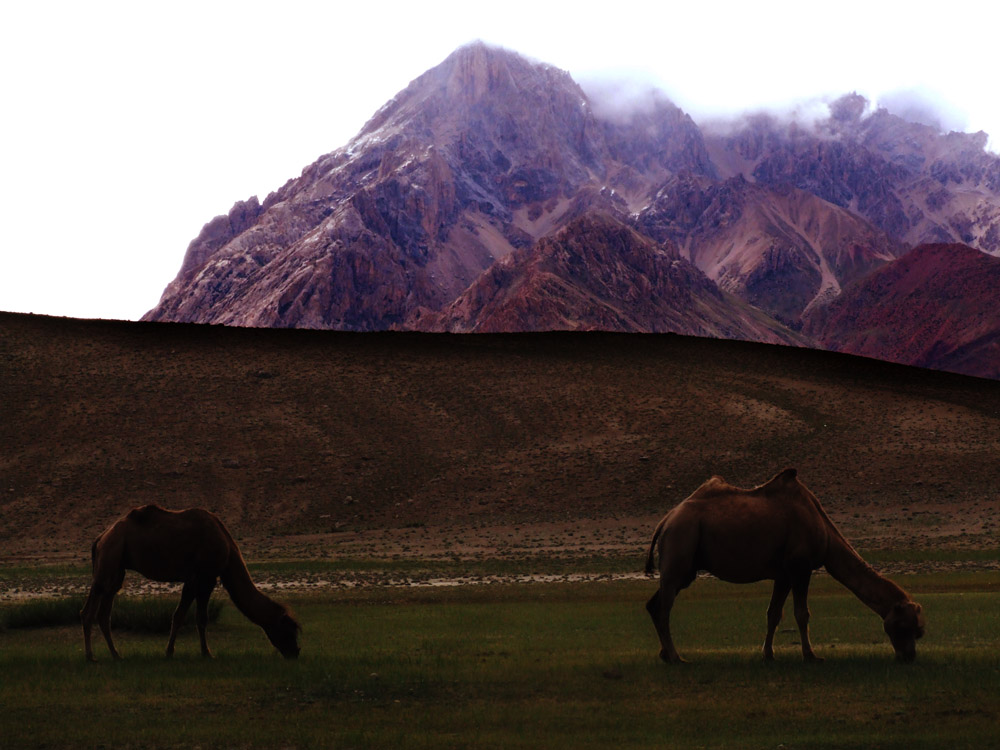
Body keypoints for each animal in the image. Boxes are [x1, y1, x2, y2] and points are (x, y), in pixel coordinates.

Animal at [80, 508, 298, 660]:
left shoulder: (193, 579)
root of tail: (100, 538)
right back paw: (91, 656)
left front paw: (169, 652)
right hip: (110, 556)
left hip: (117, 568)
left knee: (104, 611)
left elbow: (179, 615)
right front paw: (206, 653)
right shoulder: (205, 577)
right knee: (89, 609)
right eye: (289, 630)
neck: (228, 550)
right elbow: (200, 617)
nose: (295, 652)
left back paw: (116, 655)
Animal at [644, 470, 924, 664]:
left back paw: (665, 654)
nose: (909, 657)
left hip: (684, 565)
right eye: (905, 626)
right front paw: (811, 656)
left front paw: (768, 654)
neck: (825, 534)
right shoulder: (801, 567)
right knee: (663, 607)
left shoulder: (783, 574)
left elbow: (773, 614)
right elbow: (802, 613)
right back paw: (677, 657)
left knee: (655, 604)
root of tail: (664, 521)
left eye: (918, 630)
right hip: (681, 543)